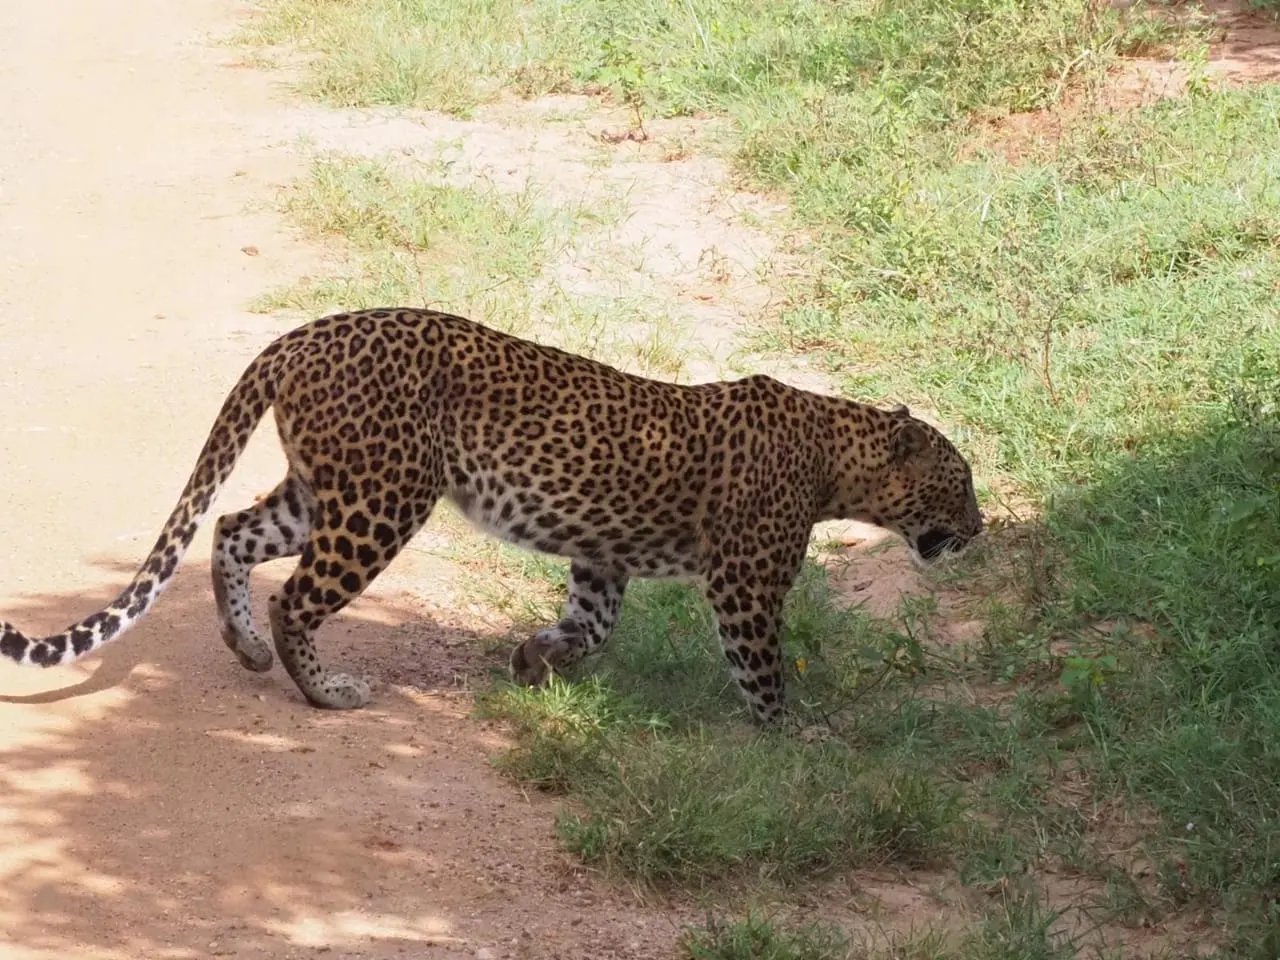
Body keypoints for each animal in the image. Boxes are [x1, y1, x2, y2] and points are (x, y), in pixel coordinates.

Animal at [0, 308, 983, 725]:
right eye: (961, 483)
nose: (978, 529)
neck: (835, 455)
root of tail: (299, 335)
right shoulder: (744, 584)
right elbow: (763, 670)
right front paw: (797, 742)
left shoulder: (602, 560)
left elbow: (592, 627)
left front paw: (531, 661)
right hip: (383, 499)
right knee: (297, 596)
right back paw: (325, 691)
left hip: (326, 488)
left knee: (233, 532)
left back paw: (242, 648)